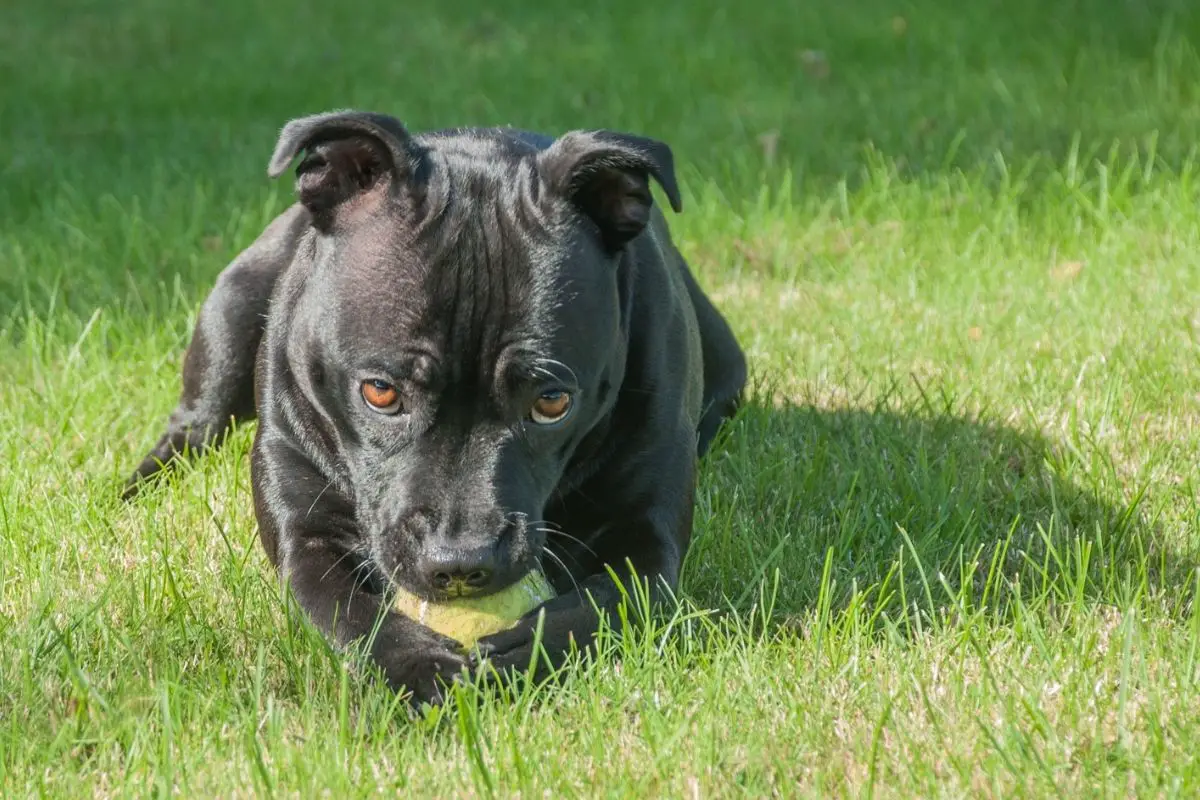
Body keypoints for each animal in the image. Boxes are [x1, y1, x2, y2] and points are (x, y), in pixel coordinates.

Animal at [121, 109, 739, 705]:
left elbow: (606, 604)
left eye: (552, 401)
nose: (460, 562)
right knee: (193, 424)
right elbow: (347, 608)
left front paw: (523, 650)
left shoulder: (647, 539)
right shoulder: (304, 529)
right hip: (230, 309)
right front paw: (417, 664)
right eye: (380, 392)